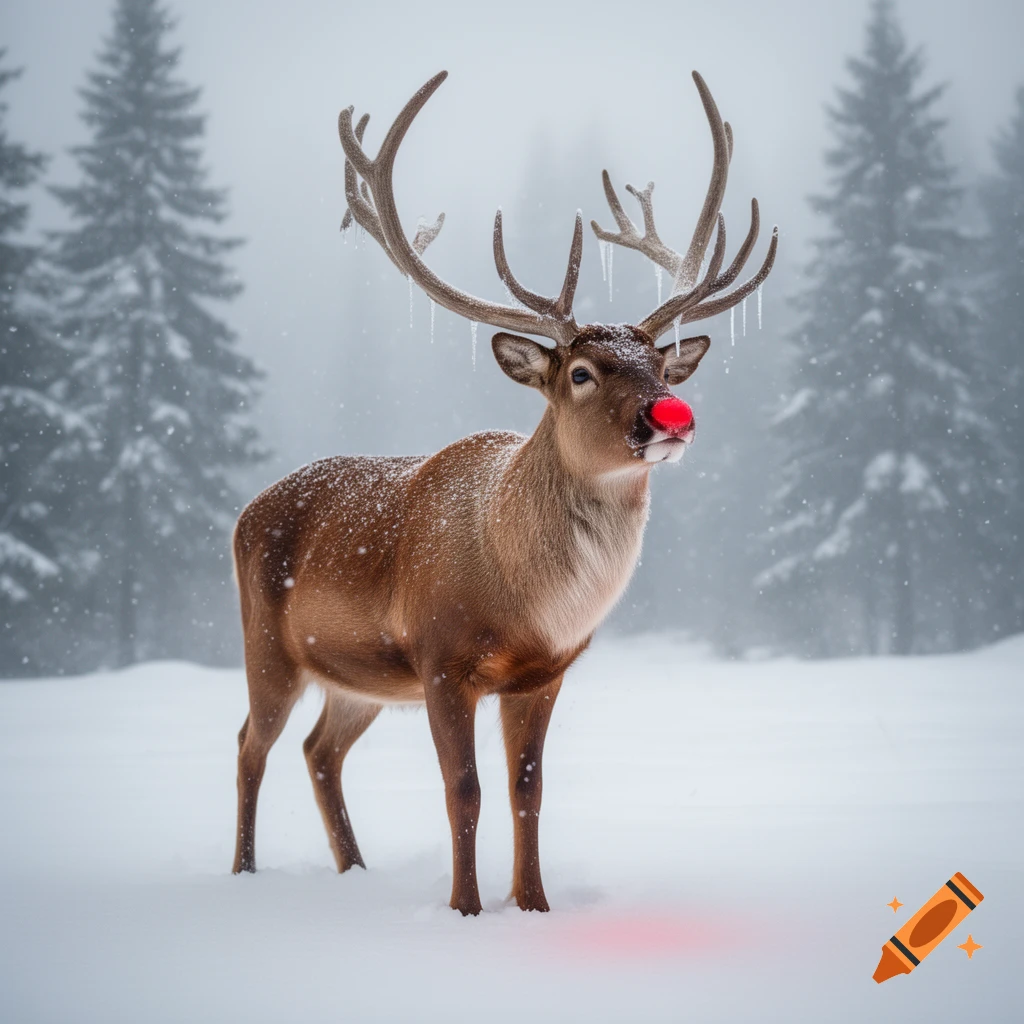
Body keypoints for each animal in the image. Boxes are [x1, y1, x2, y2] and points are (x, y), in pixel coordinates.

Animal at [232, 70, 776, 915]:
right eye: (581, 372)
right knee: (250, 744)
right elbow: (465, 791)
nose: (671, 415)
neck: (524, 598)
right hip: (269, 645)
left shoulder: (544, 674)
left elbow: (529, 791)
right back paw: (245, 873)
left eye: (659, 363)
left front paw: (534, 905)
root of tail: (245, 512)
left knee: (320, 749)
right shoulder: (441, 658)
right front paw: (465, 908)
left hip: (357, 676)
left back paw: (355, 871)